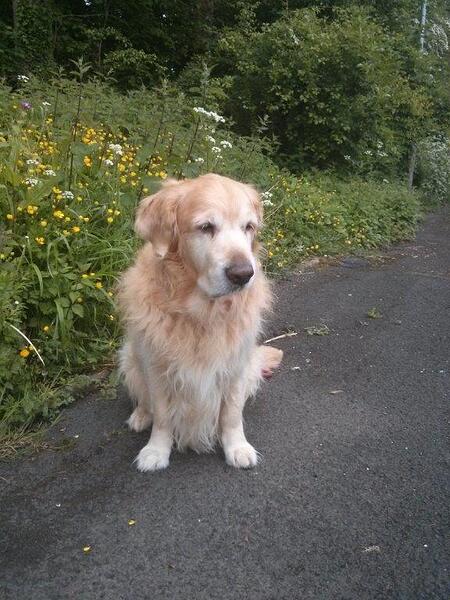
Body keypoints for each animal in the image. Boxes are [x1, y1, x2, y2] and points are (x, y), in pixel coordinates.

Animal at [118, 173, 284, 474]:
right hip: (130, 357)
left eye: (249, 227)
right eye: (206, 227)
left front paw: (237, 448)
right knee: (144, 400)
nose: (243, 274)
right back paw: (140, 416)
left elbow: (231, 414)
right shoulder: (156, 367)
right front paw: (156, 451)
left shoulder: (235, 366)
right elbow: (162, 416)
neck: (202, 311)